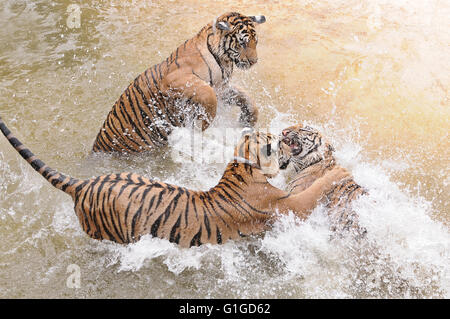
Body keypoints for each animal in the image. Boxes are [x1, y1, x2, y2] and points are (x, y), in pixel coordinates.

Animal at [0, 117, 350, 248]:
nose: (284, 132)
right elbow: (315, 189)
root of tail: (82, 185)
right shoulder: (287, 206)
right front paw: (341, 172)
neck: (240, 166)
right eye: (275, 141)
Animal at [92, 13, 266, 156]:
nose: (254, 61)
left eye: (255, 42)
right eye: (242, 43)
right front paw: (202, 124)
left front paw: (248, 120)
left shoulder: (220, 88)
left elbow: (246, 98)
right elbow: (208, 95)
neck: (224, 61)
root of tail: (95, 149)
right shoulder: (177, 79)